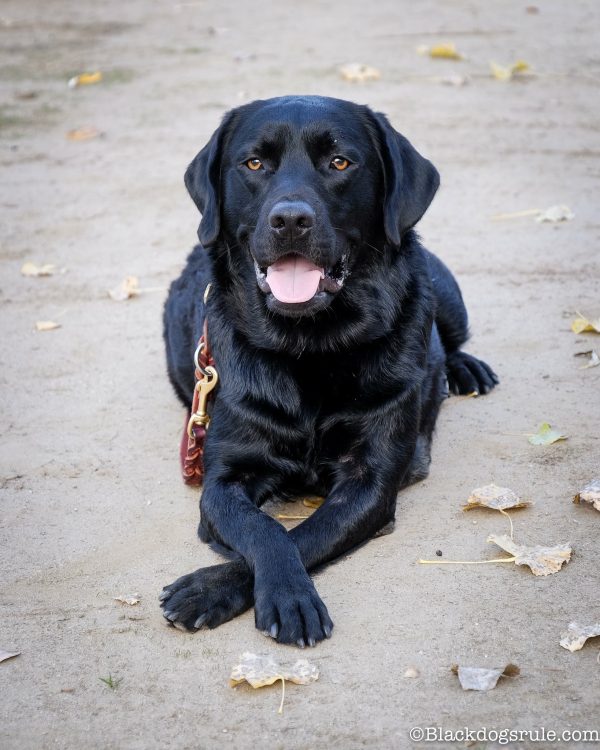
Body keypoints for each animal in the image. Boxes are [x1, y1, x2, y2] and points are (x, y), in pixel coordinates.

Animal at [159, 95, 496, 648]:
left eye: (340, 162)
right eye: (255, 163)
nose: (291, 219)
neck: (311, 347)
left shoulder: (370, 480)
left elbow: (306, 533)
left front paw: (224, 590)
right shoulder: (222, 480)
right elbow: (266, 530)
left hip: (444, 291)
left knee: (453, 338)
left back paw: (463, 370)